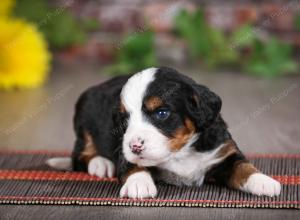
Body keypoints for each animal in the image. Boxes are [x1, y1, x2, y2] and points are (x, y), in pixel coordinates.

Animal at [47, 66, 282, 198]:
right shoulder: (122, 151)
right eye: (124, 120)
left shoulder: (224, 152)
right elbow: (133, 165)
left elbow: (243, 166)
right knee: (79, 156)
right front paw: (139, 184)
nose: (135, 146)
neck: (180, 152)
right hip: (84, 118)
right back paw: (101, 164)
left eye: (161, 113)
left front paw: (263, 181)